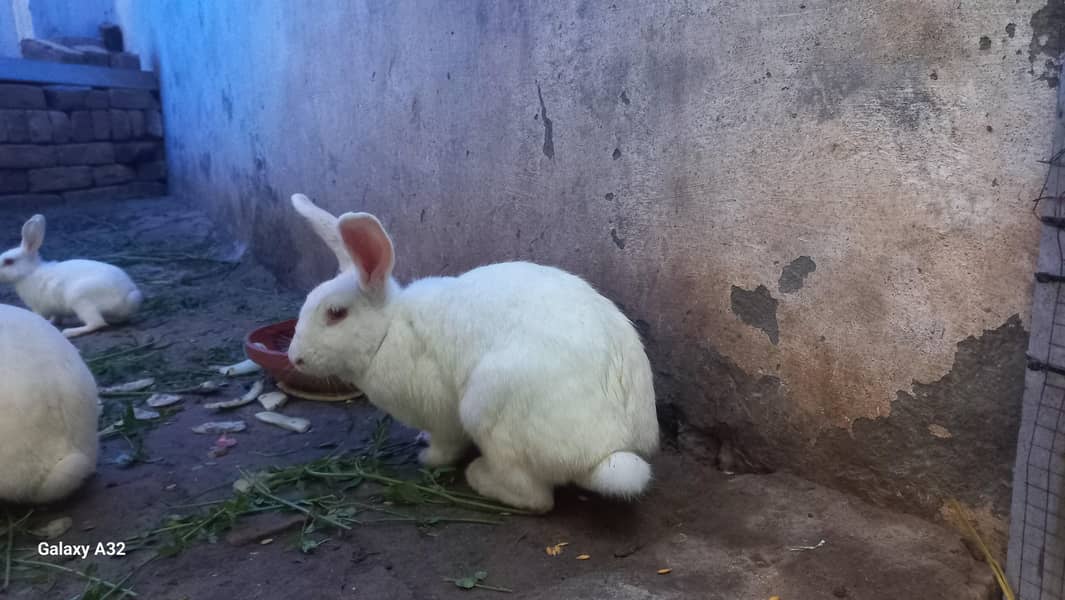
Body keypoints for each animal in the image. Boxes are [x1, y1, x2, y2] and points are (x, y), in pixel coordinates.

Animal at [0, 214, 143, 338]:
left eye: (9, 261)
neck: (29, 272)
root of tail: (130, 297)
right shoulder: (55, 310)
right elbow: (56, 318)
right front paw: (52, 323)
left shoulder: (38, 308)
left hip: (81, 299)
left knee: (97, 323)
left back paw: (70, 332)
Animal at [287, 193, 659, 512]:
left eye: (336, 314)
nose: (295, 358)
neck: (388, 330)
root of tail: (609, 450)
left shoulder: (441, 414)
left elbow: (445, 445)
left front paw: (427, 458)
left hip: (485, 411)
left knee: (536, 498)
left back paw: (480, 477)